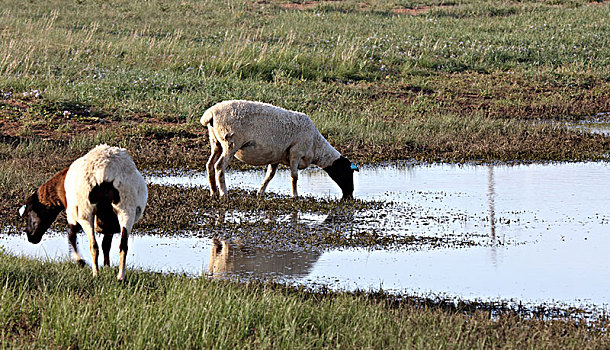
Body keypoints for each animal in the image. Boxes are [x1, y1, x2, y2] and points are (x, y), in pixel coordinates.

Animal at [18, 144, 147, 280]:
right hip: (126, 209)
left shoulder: (72, 214)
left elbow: (71, 236)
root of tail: (106, 171)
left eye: (29, 213)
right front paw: (107, 267)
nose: (30, 237)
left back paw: (95, 274)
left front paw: (80, 262)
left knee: (93, 246)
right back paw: (120, 277)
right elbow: (106, 245)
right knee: (123, 246)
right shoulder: (109, 224)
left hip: (85, 211)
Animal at [200, 100, 356, 201]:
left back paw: (213, 192)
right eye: (348, 173)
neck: (316, 146)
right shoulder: (296, 152)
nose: (349, 195)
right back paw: (224, 193)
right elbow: (294, 176)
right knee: (219, 166)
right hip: (230, 142)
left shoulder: (275, 157)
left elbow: (270, 175)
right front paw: (295, 196)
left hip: (216, 142)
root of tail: (210, 114)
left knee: (209, 165)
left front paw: (260, 192)